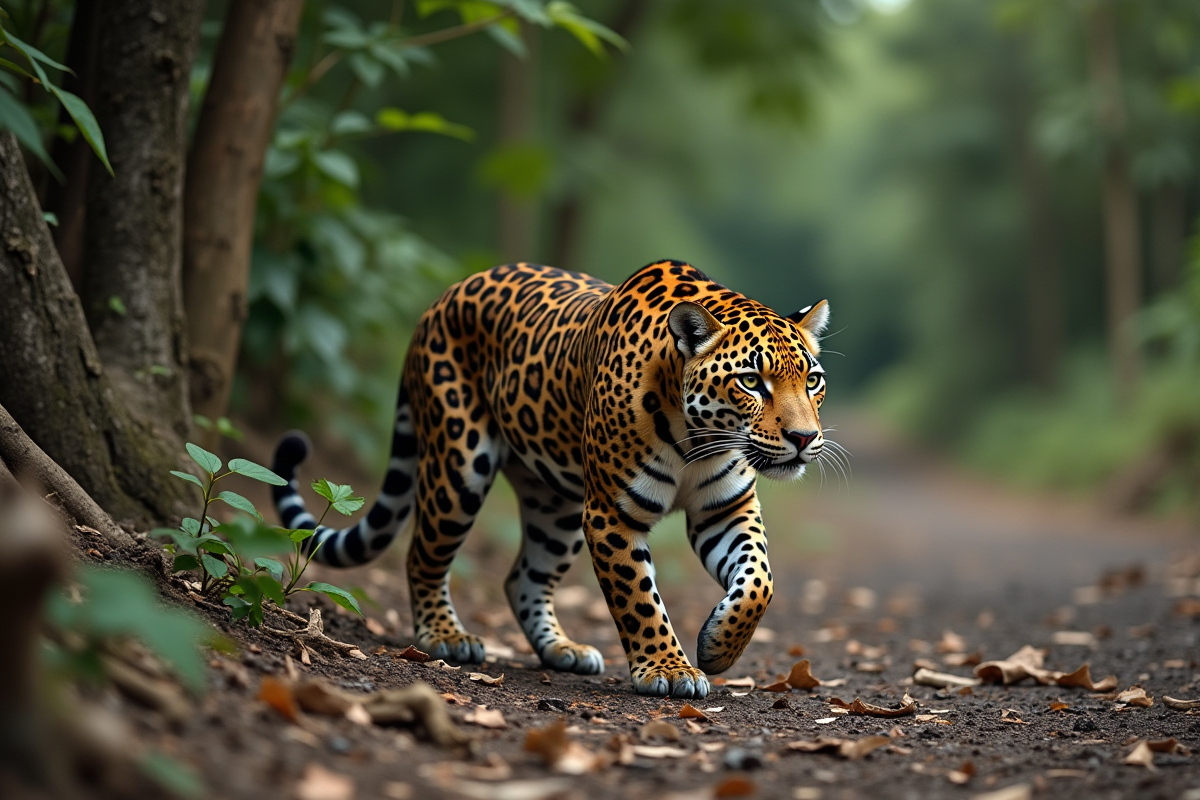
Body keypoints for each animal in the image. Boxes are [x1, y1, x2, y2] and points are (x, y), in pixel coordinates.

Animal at [272, 260, 833, 698]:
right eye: (751, 381)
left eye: (812, 380)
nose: (804, 437)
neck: (695, 436)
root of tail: (441, 299)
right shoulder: (611, 513)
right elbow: (638, 597)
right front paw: (669, 669)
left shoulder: (726, 509)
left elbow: (760, 581)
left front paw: (717, 648)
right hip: (459, 465)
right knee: (422, 555)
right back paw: (445, 635)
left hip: (555, 506)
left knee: (523, 576)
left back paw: (564, 649)